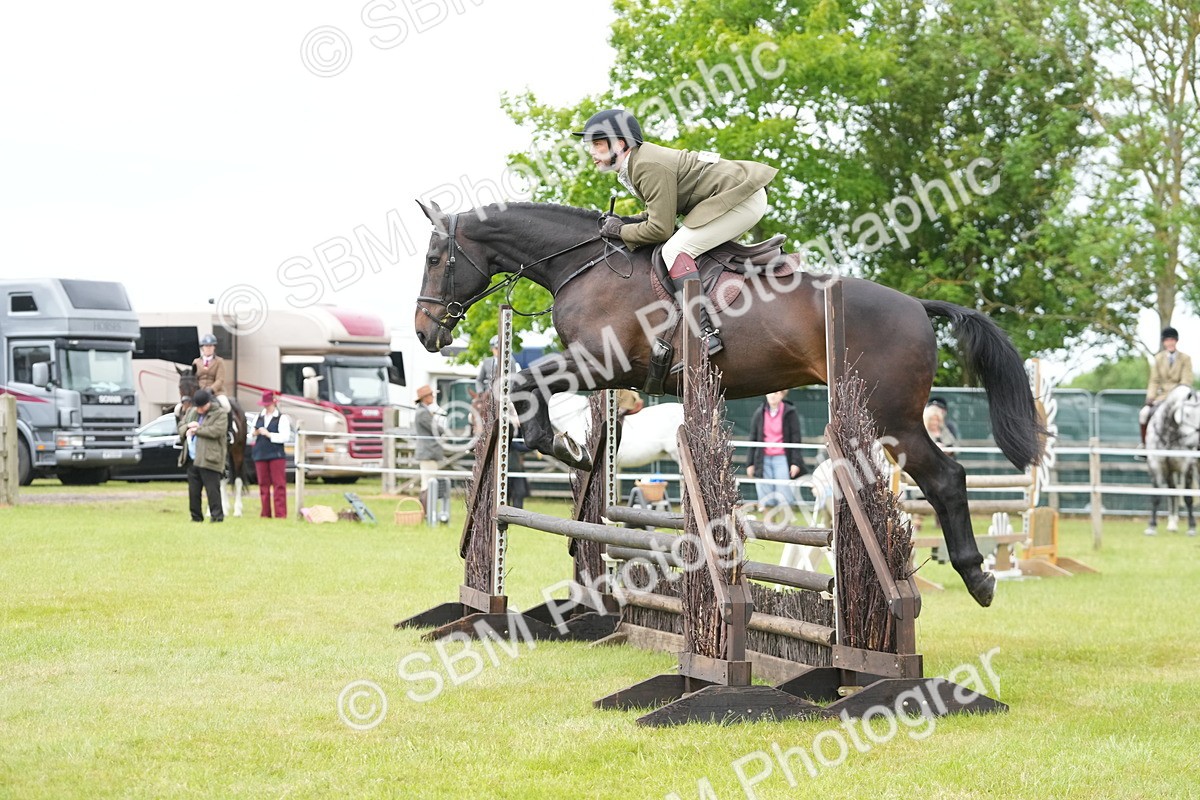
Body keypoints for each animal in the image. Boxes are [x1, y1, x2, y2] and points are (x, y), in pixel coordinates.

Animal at [413, 201, 1044, 606]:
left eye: (435, 260)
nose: (424, 333)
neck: (584, 265)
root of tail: (917, 306)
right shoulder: (603, 371)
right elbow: (526, 388)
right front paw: (571, 447)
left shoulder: (602, 361)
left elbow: (524, 383)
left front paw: (562, 447)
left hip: (894, 420)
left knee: (947, 478)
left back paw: (978, 578)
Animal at [1144, 384, 1200, 536]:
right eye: (1187, 414)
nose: (1195, 443)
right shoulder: (1156, 465)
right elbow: (1157, 496)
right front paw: (1152, 526)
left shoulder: (1187, 467)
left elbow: (1188, 497)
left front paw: (1192, 527)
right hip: (1170, 471)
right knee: (1172, 491)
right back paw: (1172, 524)